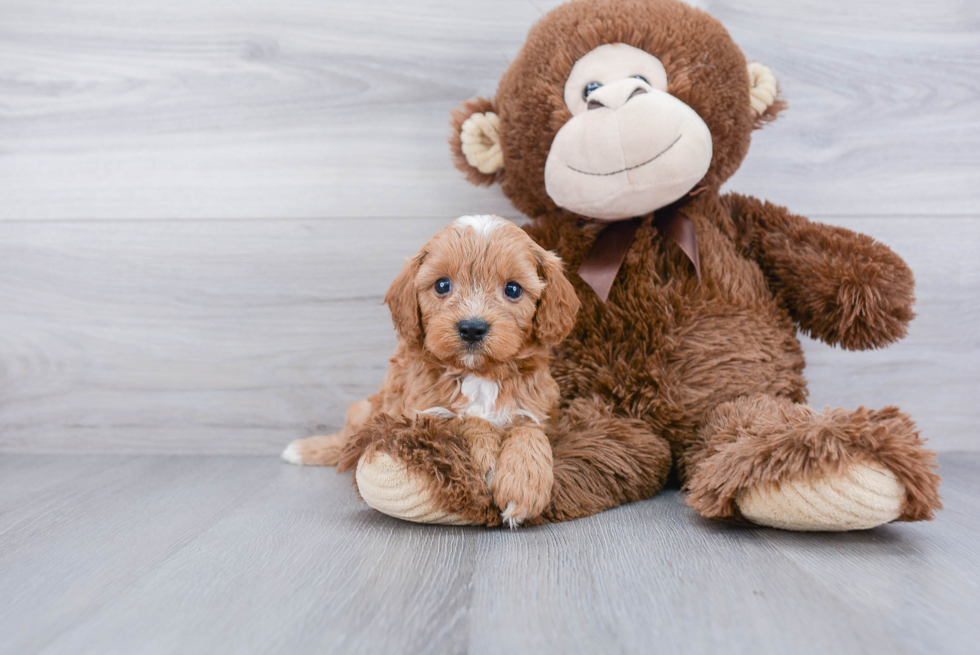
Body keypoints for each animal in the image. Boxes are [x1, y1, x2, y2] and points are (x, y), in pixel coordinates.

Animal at [280, 215, 580, 528]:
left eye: (513, 289)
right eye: (442, 285)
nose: (472, 328)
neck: (479, 374)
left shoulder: (538, 410)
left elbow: (529, 431)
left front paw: (523, 485)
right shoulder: (418, 415)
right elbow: (464, 419)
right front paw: (486, 452)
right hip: (366, 412)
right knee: (346, 440)